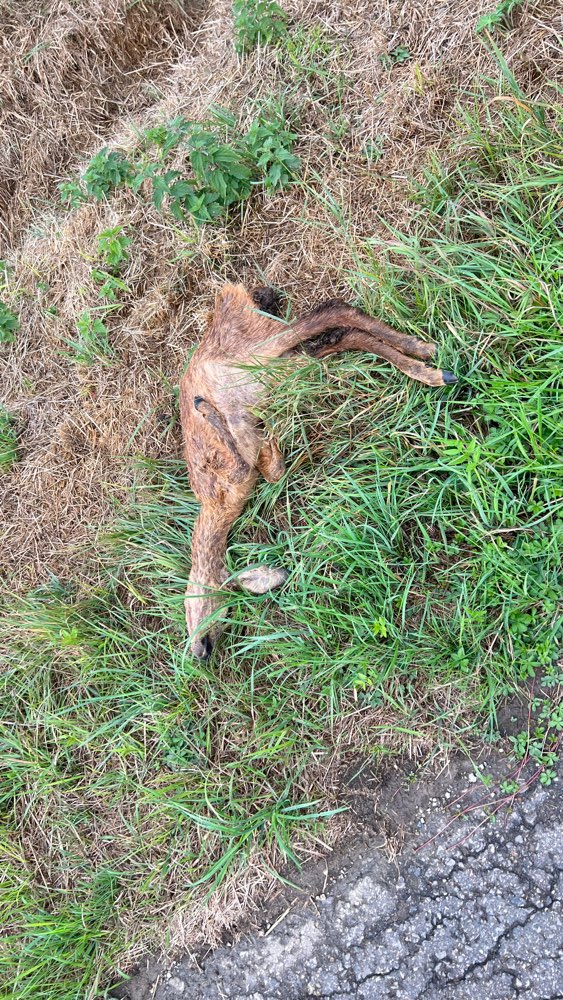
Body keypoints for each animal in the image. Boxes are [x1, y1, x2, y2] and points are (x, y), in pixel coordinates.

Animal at [180, 283, 456, 659]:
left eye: (196, 606)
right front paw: (272, 444)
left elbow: (243, 461)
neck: (217, 507)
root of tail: (230, 296)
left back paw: (426, 356)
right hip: (282, 367)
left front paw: (207, 410)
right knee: (340, 339)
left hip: (252, 351)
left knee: (331, 312)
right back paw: (426, 362)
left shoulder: (224, 469)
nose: (200, 651)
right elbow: (275, 470)